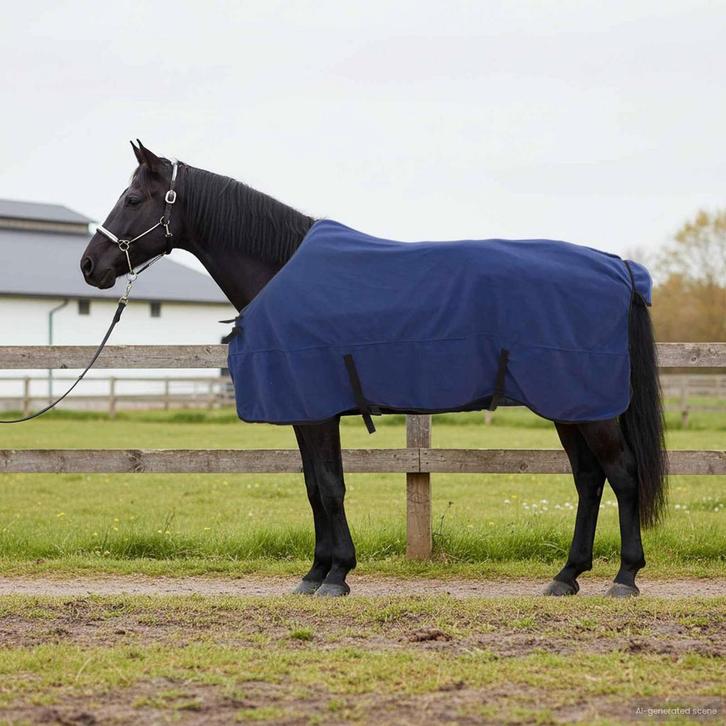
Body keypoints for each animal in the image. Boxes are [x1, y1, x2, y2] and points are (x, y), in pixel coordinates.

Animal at [80, 141, 667, 598]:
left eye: (132, 199)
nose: (90, 265)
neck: (280, 269)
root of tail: (617, 266)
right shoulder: (307, 413)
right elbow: (315, 486)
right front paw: (316, 572)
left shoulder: (316, 411)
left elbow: (330, 486)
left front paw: (336, 575)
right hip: (570, 407)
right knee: (589, 480)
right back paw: (567, 576)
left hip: (590, 408)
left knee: (622, 474)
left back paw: (624, 577)